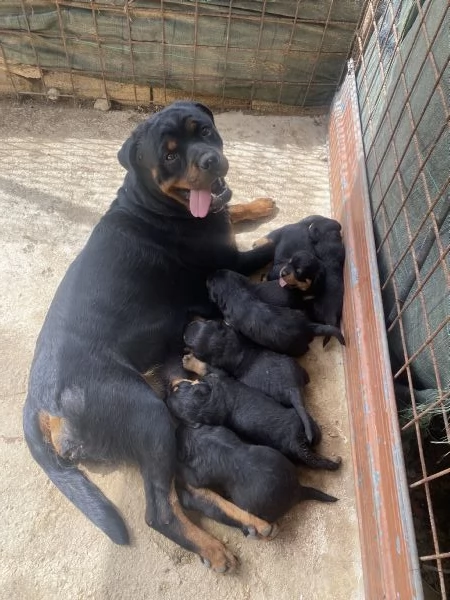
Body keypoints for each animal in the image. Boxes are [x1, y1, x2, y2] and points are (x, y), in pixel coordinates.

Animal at [24, 102, 278, 572]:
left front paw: (256, 202)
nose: (210, 161)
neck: (158, 206)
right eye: (171, 156)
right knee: (160, 510)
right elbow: (271, 243)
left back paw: (248, 521)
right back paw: (213, 548)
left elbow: (229, 208)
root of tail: (39, 401)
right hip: (147, 416)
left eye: (205, 131)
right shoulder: (229, 260)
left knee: (187, 492)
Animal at [176, 422, 338, 524]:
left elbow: (190, 477)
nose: (178, 427)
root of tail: (298, 490)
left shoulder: (200, 475)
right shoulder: (220, 430)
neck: (200, 441)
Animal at [182, 318, 316, 446]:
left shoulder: (219, 371)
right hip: (295, 366)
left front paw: (189, 361)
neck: (230, 348)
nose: (188, 327)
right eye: (208, 321)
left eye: (194, 348)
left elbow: (205, 366)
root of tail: (293, 387)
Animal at [207, 268, 344, 356]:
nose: (207, 276)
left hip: (294, 347)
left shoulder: (230, 321)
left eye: (211, 280)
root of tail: (308, 326)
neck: (235, 292)